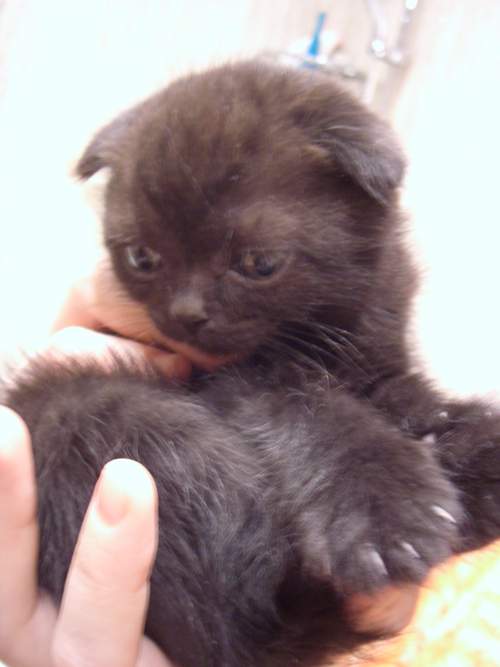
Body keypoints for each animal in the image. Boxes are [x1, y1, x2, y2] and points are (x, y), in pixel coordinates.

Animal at [4, 60, 500, 667]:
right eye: (142, 257)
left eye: (258, 264)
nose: (186, 314)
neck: (328, 324)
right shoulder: (243, 382)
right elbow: (320, 415)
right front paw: (387, 514)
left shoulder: (382, 358)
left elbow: (411, 397)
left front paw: (466, 433)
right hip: (103, 416)